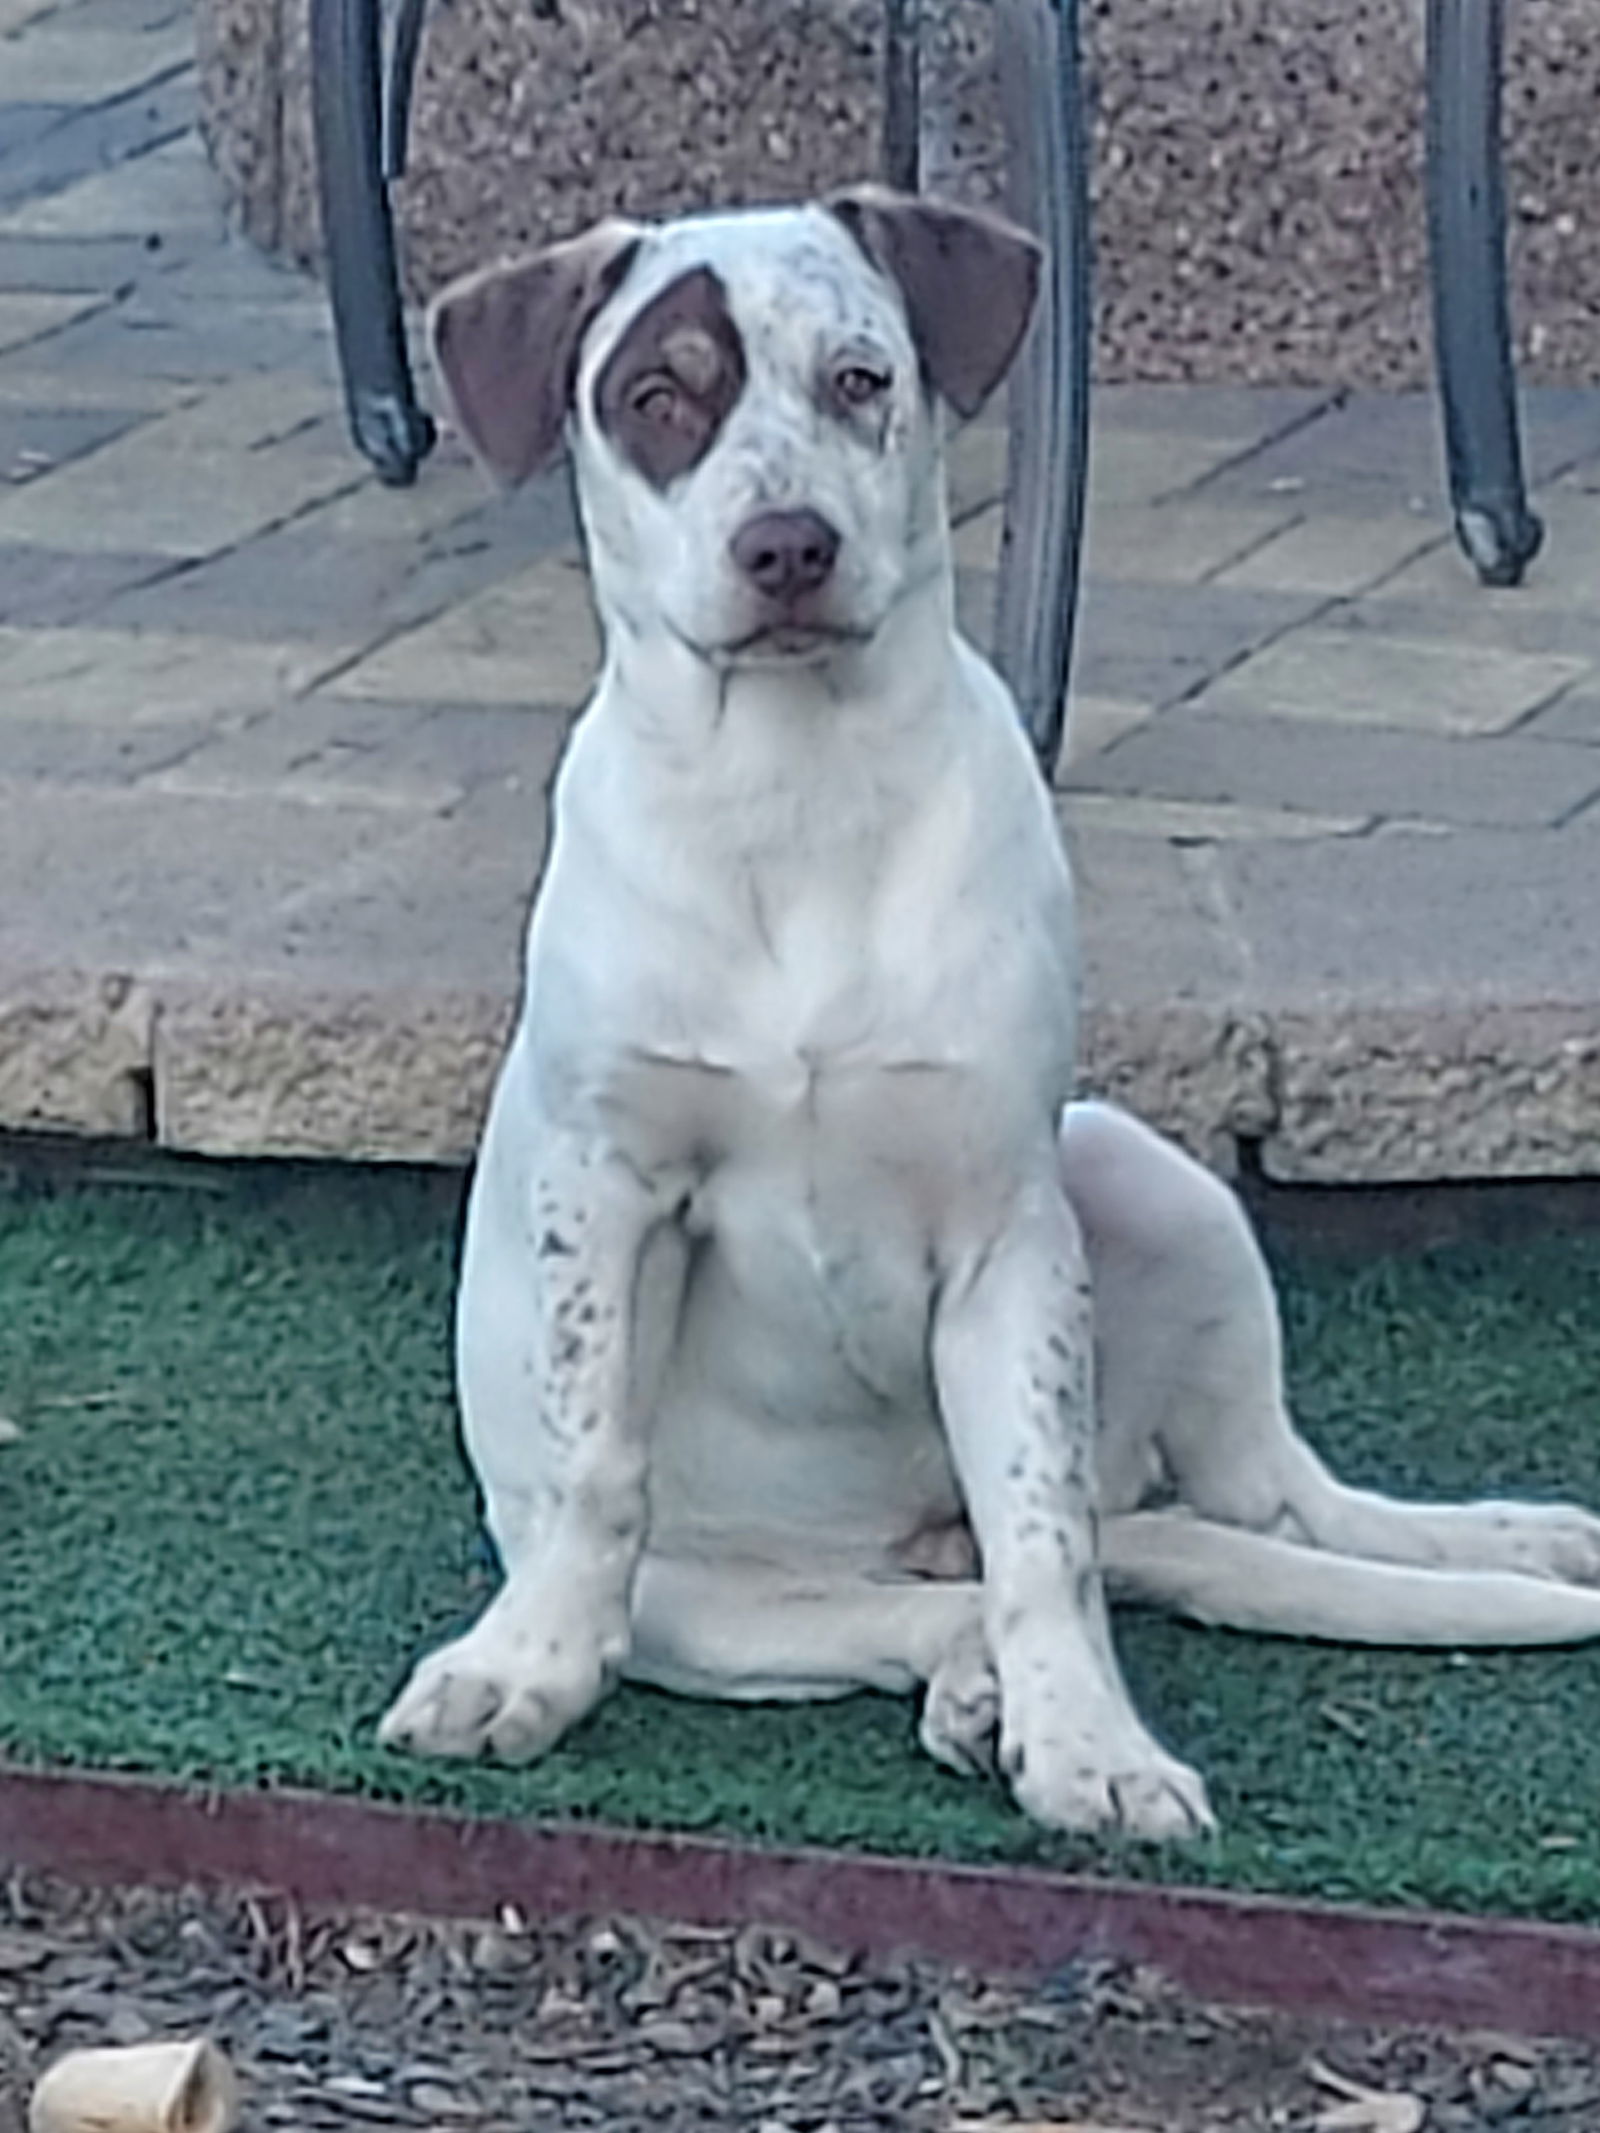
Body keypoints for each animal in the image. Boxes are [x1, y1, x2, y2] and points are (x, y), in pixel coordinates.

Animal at [379, 191, 1600, 1842]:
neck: (795, 794)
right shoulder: (609, 1186)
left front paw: (1092, 1743)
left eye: (859, 378)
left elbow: (1043, 1532)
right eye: (655, 397)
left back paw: (1505, 1538)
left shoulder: (1005, 1230)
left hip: (1140, 1170)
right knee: (905, 1611)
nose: (788, 546)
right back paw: (961, 1683)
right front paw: (526, 1668)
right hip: (722, 1613)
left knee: (1256, 1499)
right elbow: (595, 1461)